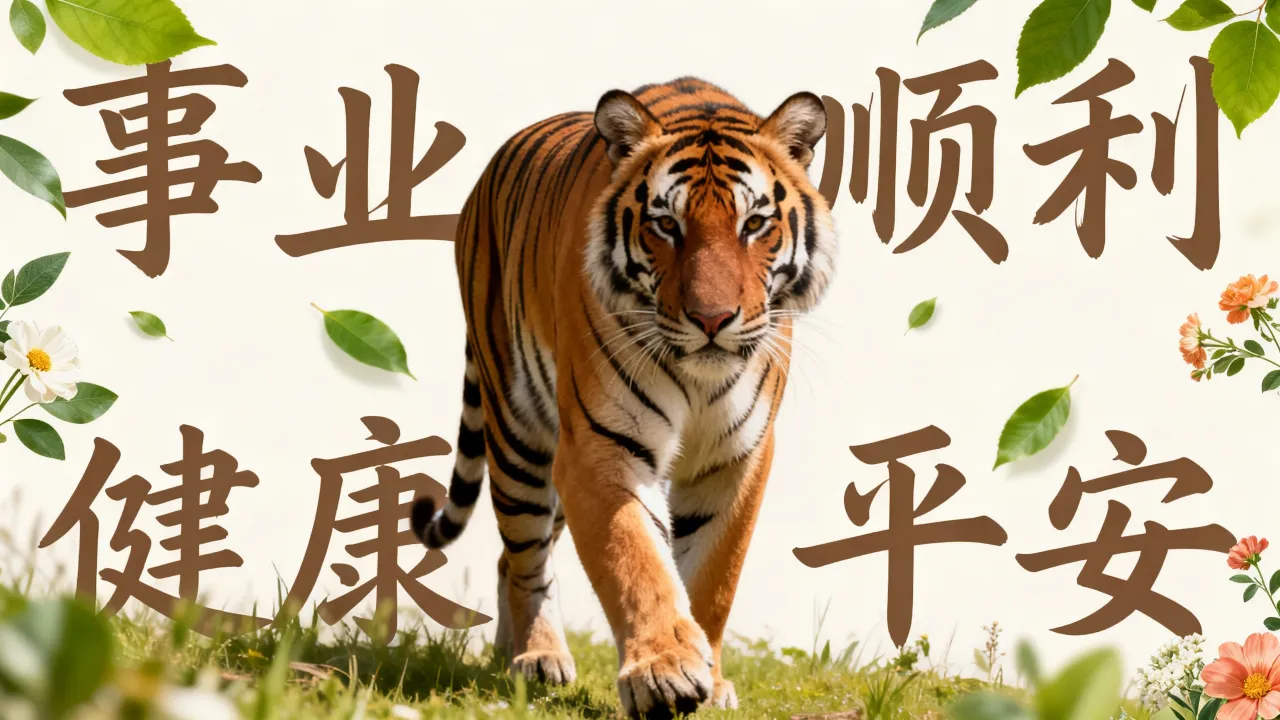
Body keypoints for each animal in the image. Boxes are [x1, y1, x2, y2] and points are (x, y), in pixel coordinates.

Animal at [411, 77, 837, 718]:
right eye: (666, 225)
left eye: (754, 224)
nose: (712, 319)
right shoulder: (600, 447)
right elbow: (637, 561)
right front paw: (664, 671)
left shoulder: (736, 458)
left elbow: (712, 578)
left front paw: (709, 677)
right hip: (520, 432)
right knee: (525, 555)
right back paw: (537, 657)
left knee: (513, 554)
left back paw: (507, 655)